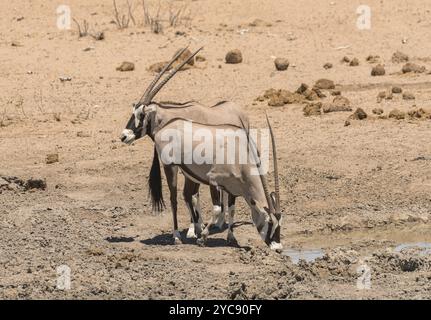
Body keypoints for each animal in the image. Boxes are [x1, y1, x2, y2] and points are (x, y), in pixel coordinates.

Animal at [120, 46, 284, 251]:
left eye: (140, 114)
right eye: (269, 222)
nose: (278, 248)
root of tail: (166, 129)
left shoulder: (233, 188)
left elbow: (230, 208)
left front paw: (230, 237)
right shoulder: (213, 181)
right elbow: (216, 208)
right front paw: (201, 235)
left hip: (188, 172)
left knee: (187, 195)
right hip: (170, 167)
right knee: (174, 198)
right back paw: (177, 236)